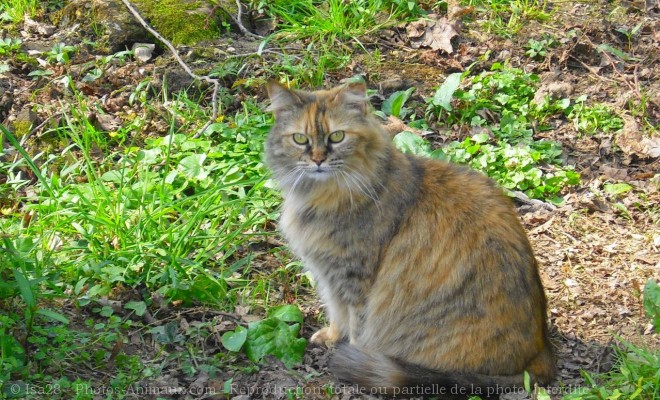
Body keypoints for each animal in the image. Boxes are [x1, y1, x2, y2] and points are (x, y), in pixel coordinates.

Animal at [262, 80, 556, 396]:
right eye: (300, 139)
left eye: (337, 136)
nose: (317, 160)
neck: (323, 196)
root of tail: (541, 352)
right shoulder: (328, 275)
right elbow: (335, 312)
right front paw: (330, 336)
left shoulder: (355, 278)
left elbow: (355, 327)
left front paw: (350, 354)